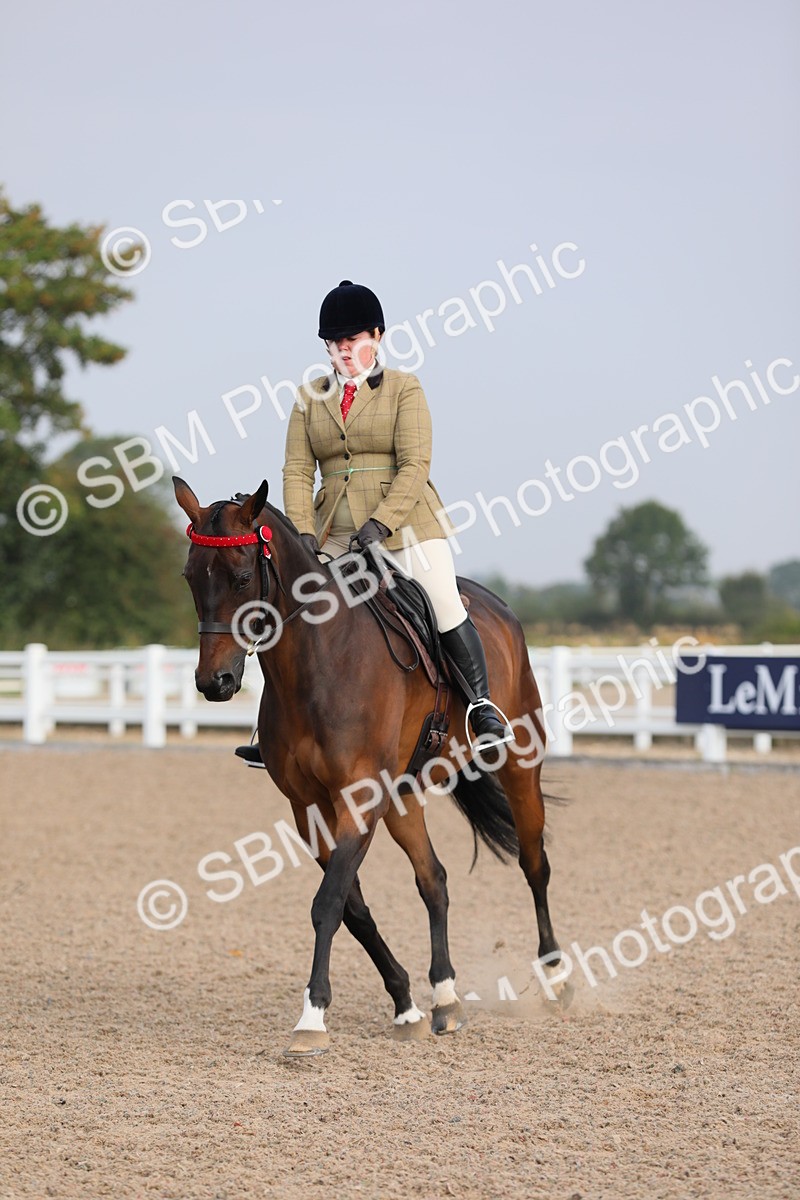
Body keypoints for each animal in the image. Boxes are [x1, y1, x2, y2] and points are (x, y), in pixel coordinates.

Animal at [174, 476, 563, 1056]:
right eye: (191, 577)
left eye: (242, 577)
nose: (213, 683)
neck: (318, 662)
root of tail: (499, 608)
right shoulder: (309, 808)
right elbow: (353, 907)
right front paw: (405, 1005)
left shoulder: (358, 797)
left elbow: (329, 900)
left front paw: (312, 1017)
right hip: (401, 797)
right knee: (434, 879)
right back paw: (445, 999)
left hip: (518, 765)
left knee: (534, 863)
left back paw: (556, 977)